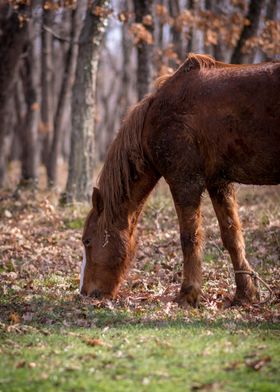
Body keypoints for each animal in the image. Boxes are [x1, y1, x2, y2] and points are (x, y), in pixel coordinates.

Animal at [79, 54, 280, 306]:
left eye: (87, 241)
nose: (85, 293)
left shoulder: (185, 182)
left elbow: (189, 238)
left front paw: (188, 294)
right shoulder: (219, 183)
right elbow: (232, 236)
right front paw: (245, 294)